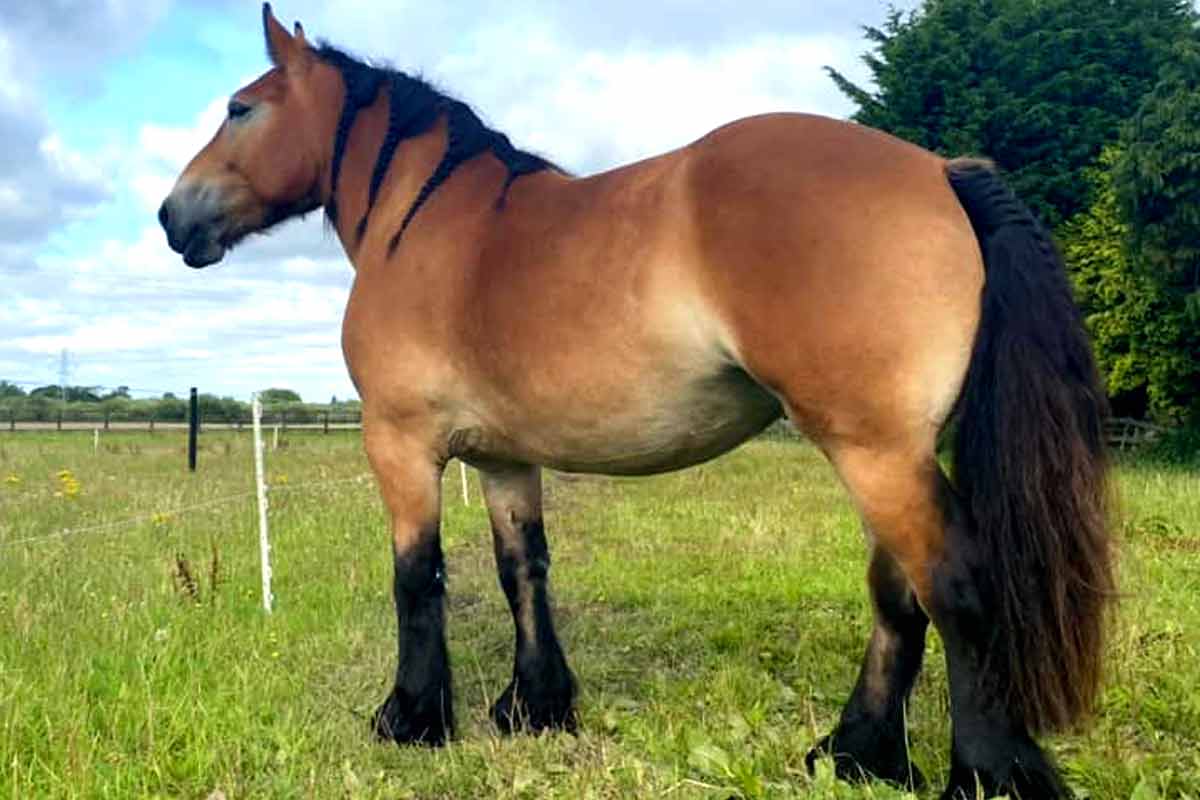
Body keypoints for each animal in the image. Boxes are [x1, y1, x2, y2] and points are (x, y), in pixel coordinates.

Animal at [158, 6, 1114, 797]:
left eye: (240, 108)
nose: (173, 218)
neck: (431, 226)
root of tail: (941, 171)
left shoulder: (400, 446)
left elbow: (416, 576)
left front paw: (412, 718)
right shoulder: (503, 458)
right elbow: (522, 570)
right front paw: (534, 706)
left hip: (875, 452)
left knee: (952, 585)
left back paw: (981, 774)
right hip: (893, 452)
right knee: (897, 595)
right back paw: (855, 755)